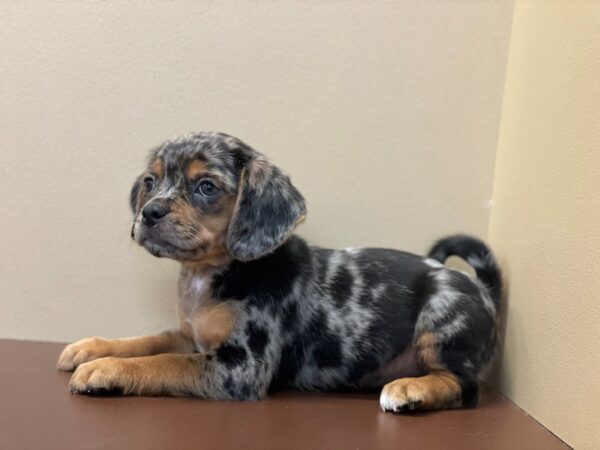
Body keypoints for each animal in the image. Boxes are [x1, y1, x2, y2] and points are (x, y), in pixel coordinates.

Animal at [57, 132, 502, 414]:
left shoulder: (240, 366)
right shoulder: (190, 334)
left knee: (464, 386)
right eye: (150, 181)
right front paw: (92, 348)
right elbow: (149, 341)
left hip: (441, 312)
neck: (211, 273)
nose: (149, 214)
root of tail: (484, 291)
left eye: (206, 187)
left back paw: (411, 390)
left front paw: (105, 369)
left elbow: (162, 363)